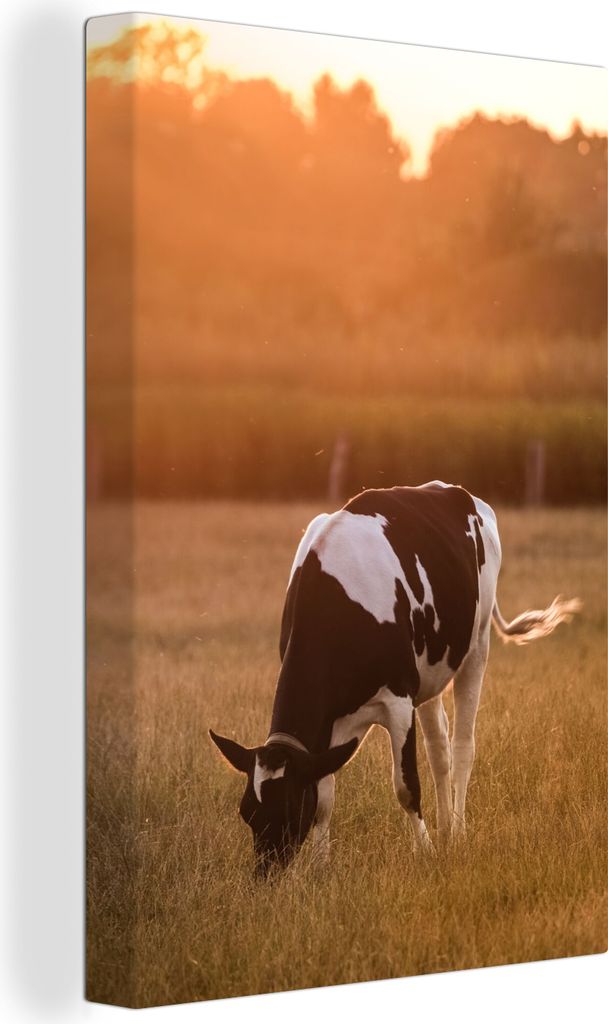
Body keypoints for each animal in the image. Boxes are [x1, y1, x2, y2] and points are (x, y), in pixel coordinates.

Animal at [210, 481, 579, 877]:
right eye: (247, 812)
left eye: (291, 811)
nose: (266, 874)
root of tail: (452, 490)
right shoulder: (331, 724)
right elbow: (325, 793)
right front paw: (322, 867)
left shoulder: (398, 701)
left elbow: (406, 786)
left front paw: (425, 852)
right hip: (431, 672)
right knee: (440, 750)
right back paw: (445, 831)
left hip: (477, 647)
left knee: (463, 745)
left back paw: (458, 833)